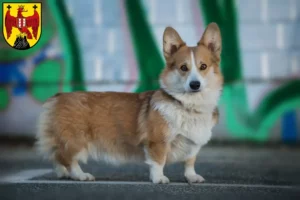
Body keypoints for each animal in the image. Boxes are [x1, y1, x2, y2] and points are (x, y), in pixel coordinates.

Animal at [35, 22, 223, 184]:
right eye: (183, 68)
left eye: (203, 66)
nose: (195, 84)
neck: (188, 106)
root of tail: (57, 96)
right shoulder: (157, 142)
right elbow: (158, 161)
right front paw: (159, 178)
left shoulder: (192, 144)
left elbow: (189, 162)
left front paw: (192, 177)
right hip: (76, 140)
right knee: (68, 158)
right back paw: (80, 175)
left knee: (58, 156)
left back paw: (64, 173)